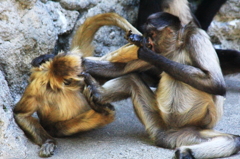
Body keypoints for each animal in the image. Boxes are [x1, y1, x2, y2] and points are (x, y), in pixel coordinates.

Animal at [79, 11, 240, 158]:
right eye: (147, 35)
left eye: (151, 34)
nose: (147, 42)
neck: (177, 46)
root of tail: (169, 133)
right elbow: (121, 69)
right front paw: (81, 63)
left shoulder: (196, 35)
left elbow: (216, 84)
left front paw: (149, 55)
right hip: (157, 122)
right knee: (131, 79)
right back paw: (99, 93)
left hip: (195, 128)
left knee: (233, 140)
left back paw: (186, 152)